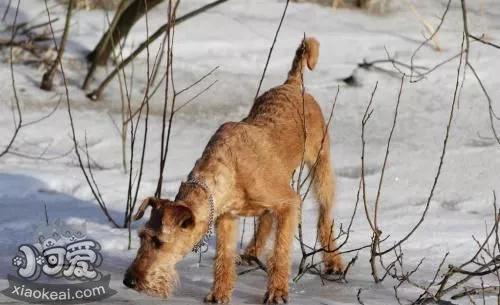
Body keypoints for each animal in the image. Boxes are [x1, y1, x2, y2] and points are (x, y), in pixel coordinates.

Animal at [124, 35, 344, 302]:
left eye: (158, 242)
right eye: (142, 237)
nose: (128, 281)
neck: (228, 172)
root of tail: (291, 83)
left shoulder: (290, 203)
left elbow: (280, 252)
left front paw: (277, 292)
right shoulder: (226, 218)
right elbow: (223, 256)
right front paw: (218, 294)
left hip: (320, 166)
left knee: (324, 215)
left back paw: (334, 262)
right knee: (266, 220)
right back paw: (251, 252)